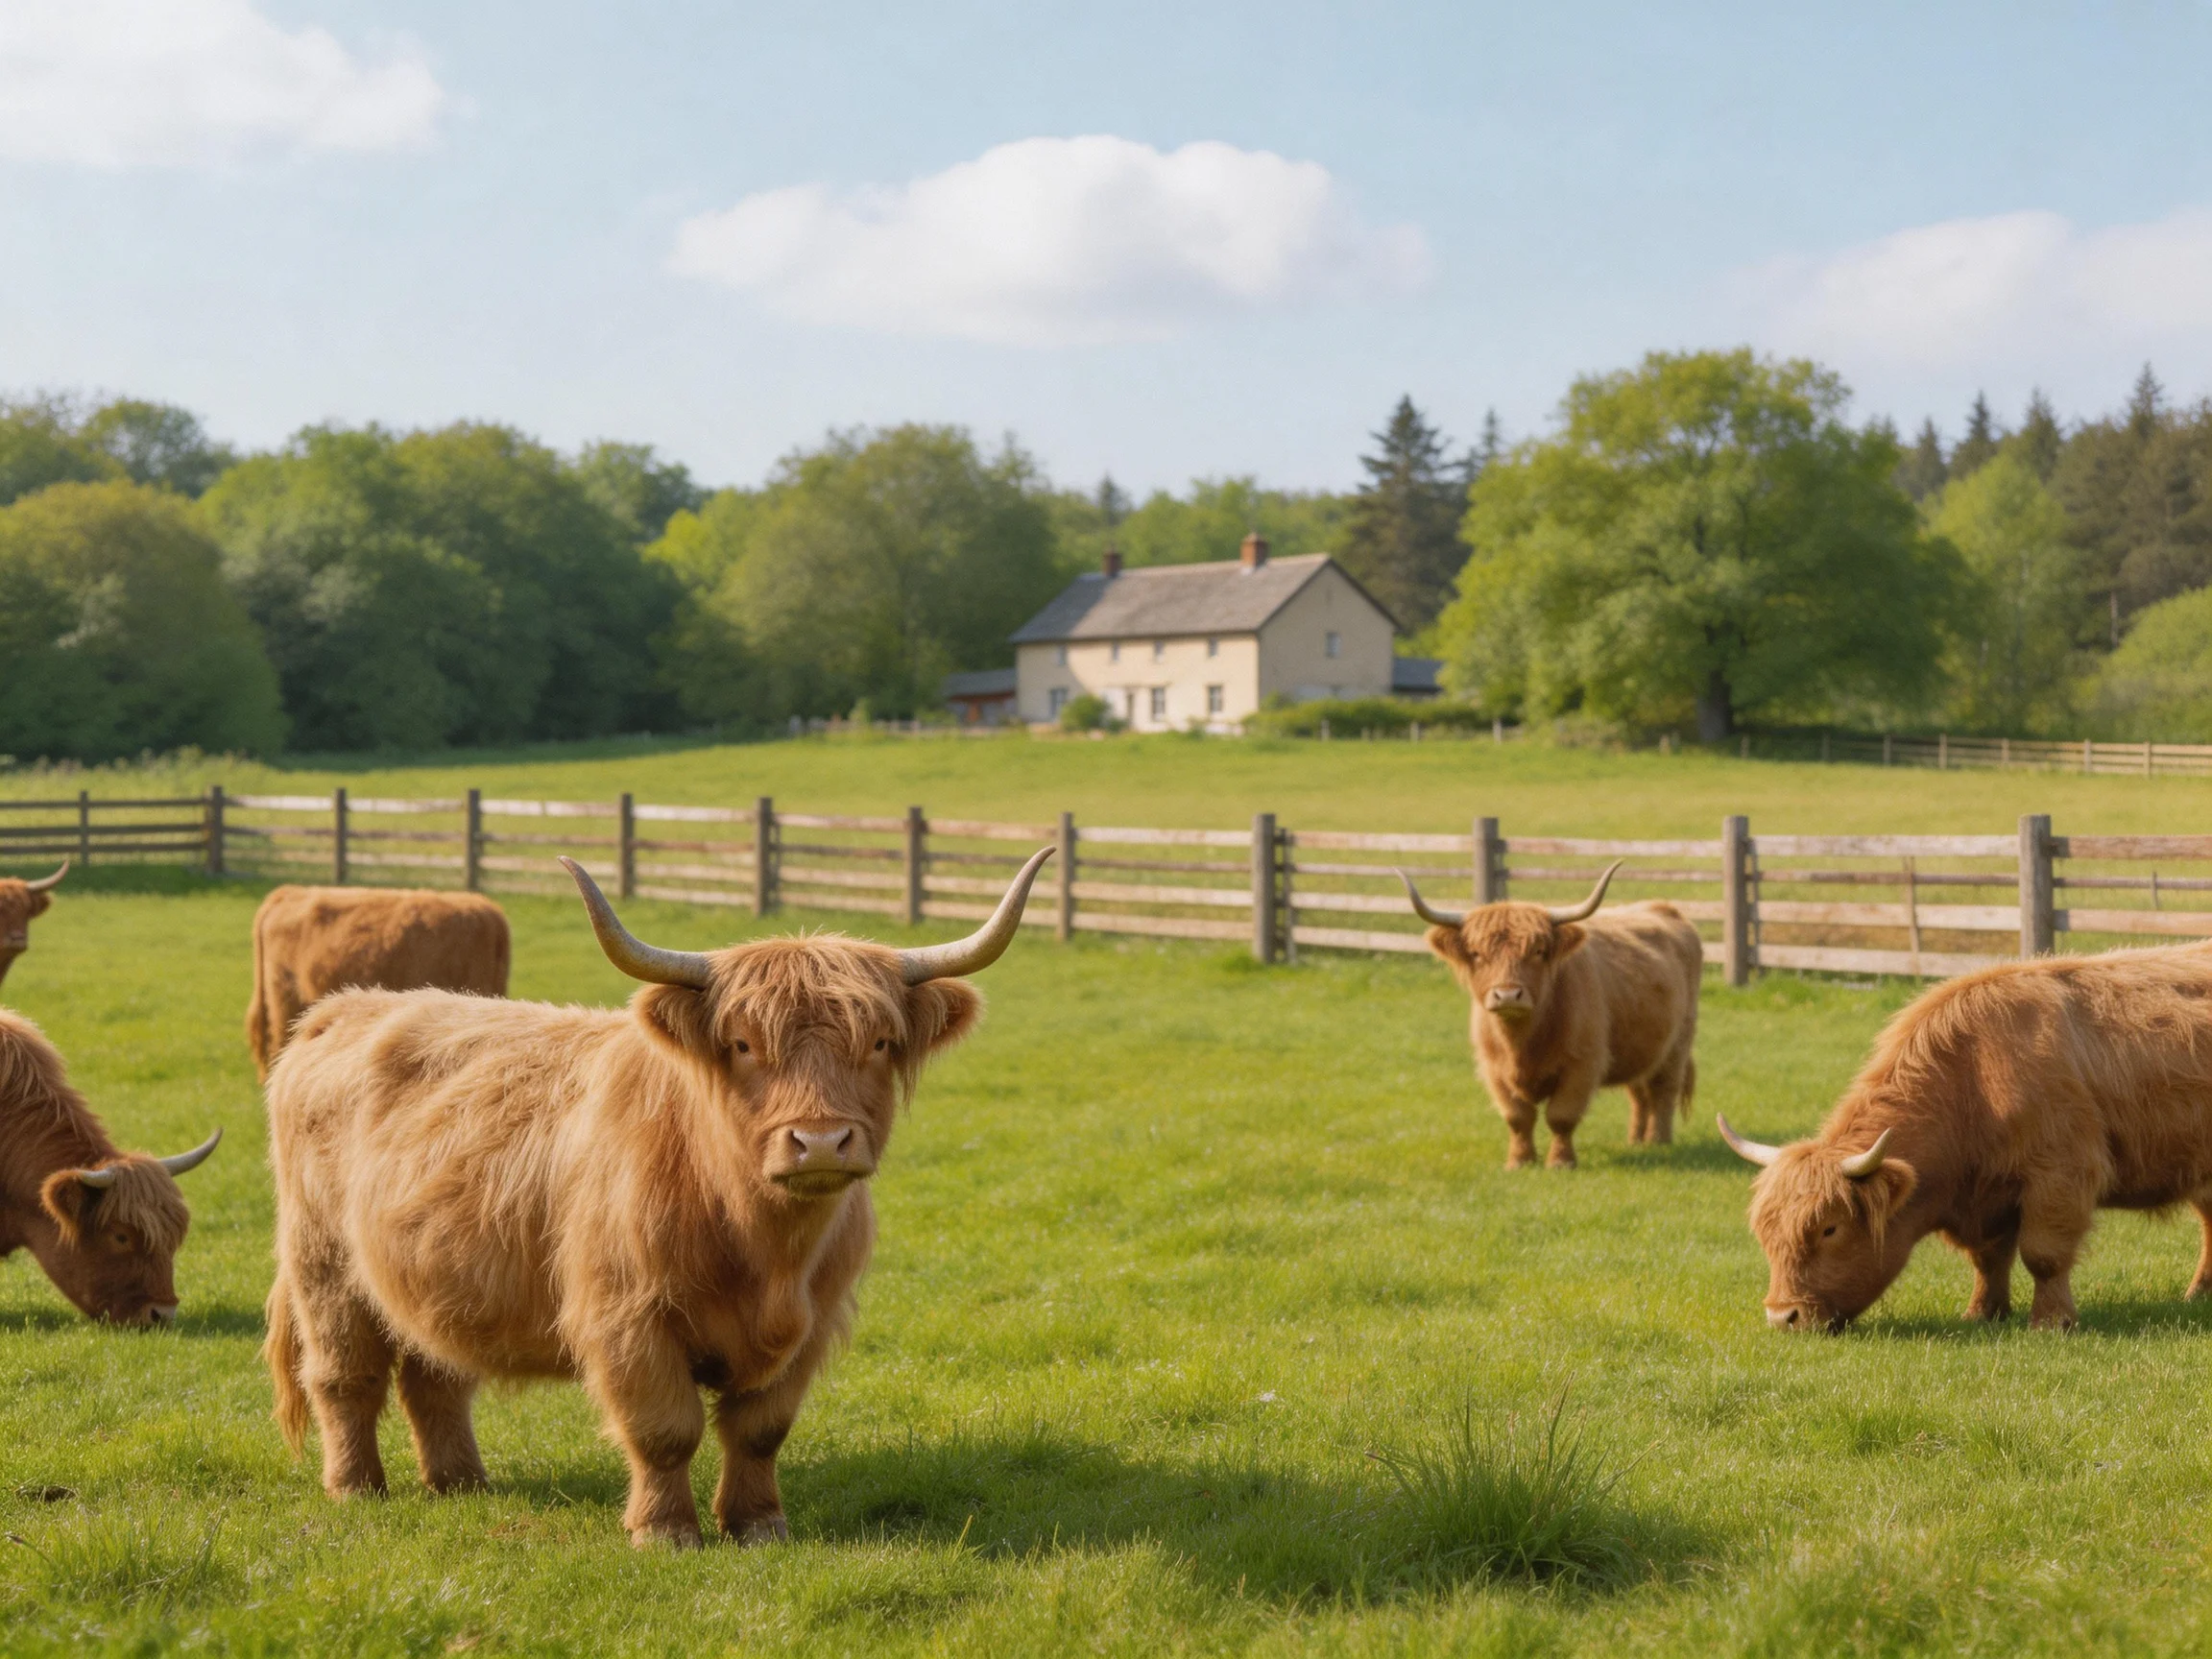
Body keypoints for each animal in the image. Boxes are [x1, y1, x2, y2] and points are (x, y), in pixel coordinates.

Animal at [1399, 862, 1702, 1169]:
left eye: (1538, 951)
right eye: (1476, 953)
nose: (1508, 995)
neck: (1523, 1042)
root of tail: (1663, 908)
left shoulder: (1582, 1064)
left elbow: (1561, 1116)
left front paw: (1560, 1162)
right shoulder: (1494, 1068)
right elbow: (1518, 1117)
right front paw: (1520, 1161)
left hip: (1678, 1042)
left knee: (1664, 1091)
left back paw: (1658, 1141)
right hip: (1641, 1047)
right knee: (1639, 1094)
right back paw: (1636, 1142)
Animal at [1720, 942, 2212, 1333]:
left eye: (1829, 1228)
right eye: (1766, 1232)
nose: (1782, 1317)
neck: (1973, 1078)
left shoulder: (2061, 1172)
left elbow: (2043, 1254)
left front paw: (2051, 1322)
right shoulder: (1986, 1198)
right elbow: (1989, 1259)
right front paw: (1982, 1313)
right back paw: (2200, 1294)